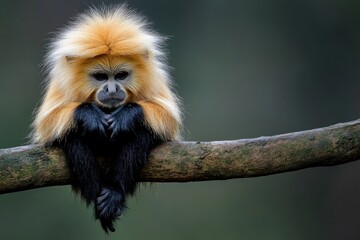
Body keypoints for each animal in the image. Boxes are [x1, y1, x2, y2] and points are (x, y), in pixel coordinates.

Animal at [31, 6, 181, 232]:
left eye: (121, 75)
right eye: (101, 77)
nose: (112, 90)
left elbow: (168, 118)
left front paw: (126, 115)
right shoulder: (62, 84)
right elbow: (47, 124)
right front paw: (90, 115)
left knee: (141, 132)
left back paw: (114, 193)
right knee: (72, 135)